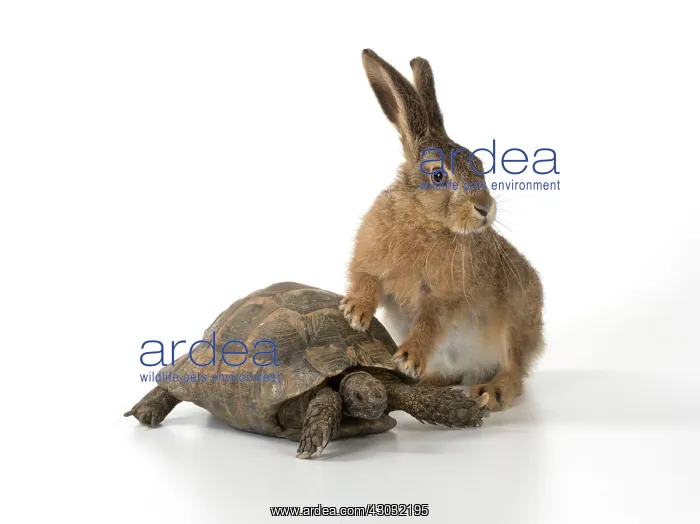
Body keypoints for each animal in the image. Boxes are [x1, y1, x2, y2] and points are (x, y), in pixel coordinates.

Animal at [339, 49, 544, 411]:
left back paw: (491, 391)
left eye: (480, 165)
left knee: (514, 372)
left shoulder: (445, 300)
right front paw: (355, 312)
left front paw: (409, 357)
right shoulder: (370, 263)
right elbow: (367, 281)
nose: (485, 208)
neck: (424, 220)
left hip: (516, 325)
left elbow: (430, 323)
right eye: (437, 176)